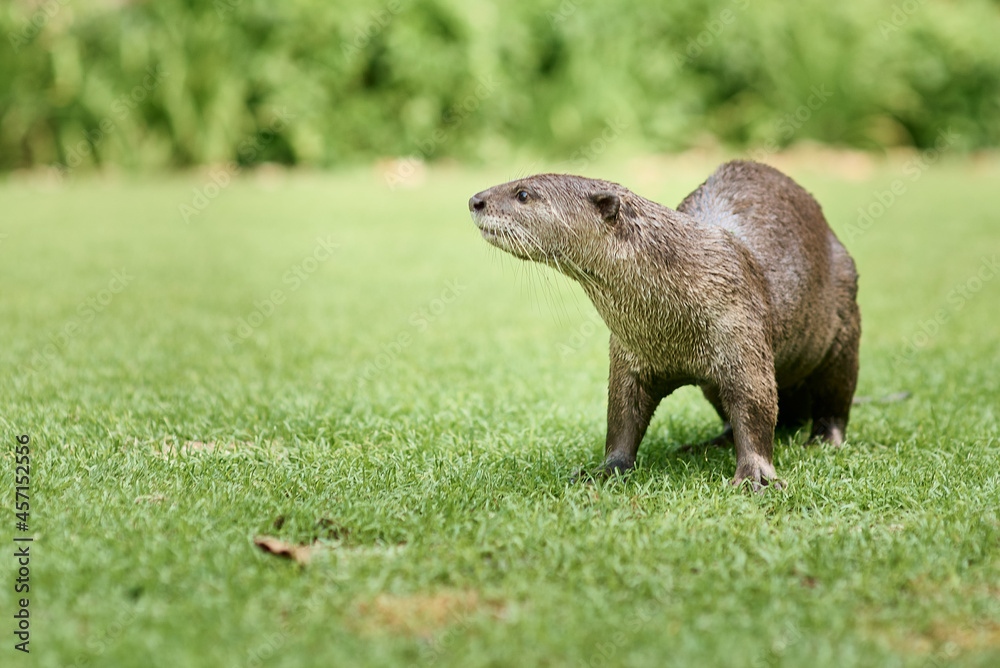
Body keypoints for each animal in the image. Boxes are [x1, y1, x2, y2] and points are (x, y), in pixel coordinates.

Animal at [468, 161, 860, 490]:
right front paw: (605, 470)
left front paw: (756, 478)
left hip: (844, 322)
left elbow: (756, 404)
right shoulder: (627, 354)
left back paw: (823, 440)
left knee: (836, 396)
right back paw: (710, 444)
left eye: (523, 193)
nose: (475, 200)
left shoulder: (742, 332)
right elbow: (621, 417)